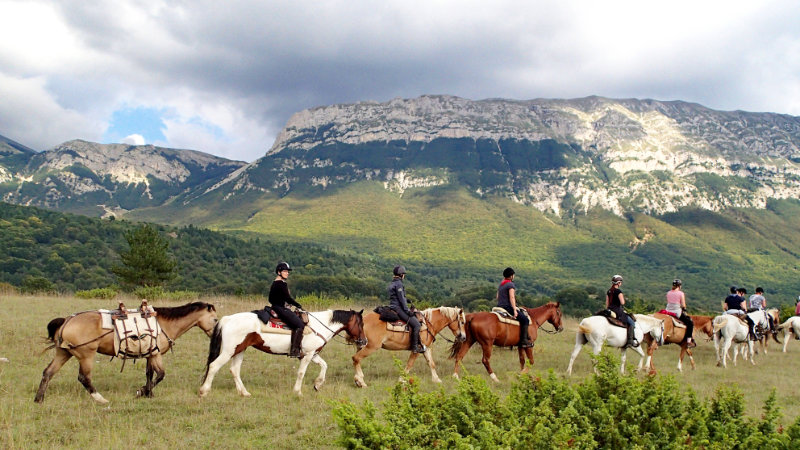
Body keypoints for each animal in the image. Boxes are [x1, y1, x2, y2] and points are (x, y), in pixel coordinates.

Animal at [35, 302, 219, 404]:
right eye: (215, 319)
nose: (216, 332)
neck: (163, 324)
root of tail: (67, 320)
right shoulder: (156, 355)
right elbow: (160, 374)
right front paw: (142, 392)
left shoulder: (150, 354)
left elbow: (150, 374)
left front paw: (148, 393)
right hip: (86, 355)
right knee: (84, 378)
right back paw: (101, 399)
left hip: (63, 353)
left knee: (48, 372)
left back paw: (39, 399)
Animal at [199, 310, 366, 398]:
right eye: (361, 324)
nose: (363, 341)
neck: (319, 326)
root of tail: (227, 319)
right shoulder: (307, 355)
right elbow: (301, 373)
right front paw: (298, 391)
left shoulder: (312, 354)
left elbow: (324, 365)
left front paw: (318, 384)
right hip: (229, 351)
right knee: (214, 366)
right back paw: (204, 390)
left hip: (239, 350)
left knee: (234, 370)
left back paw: (244, 393)